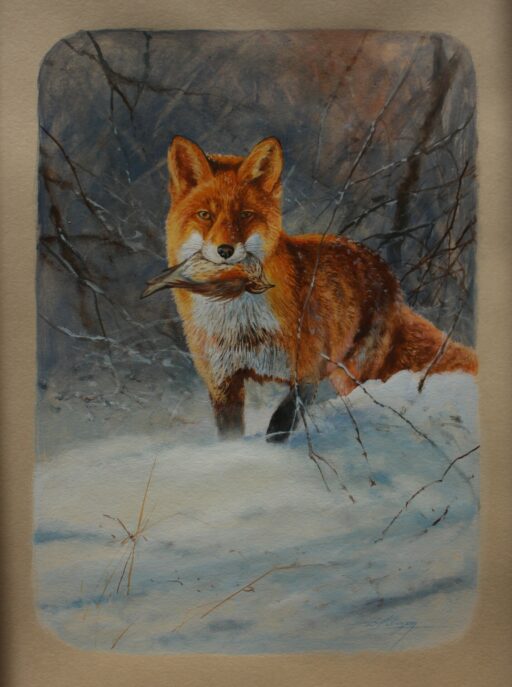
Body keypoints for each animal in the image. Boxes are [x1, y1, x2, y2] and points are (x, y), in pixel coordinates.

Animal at [164, 135, 478, 441]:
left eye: (245, 215)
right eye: (205, 215)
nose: (225, 250)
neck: (240, 324)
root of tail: (383, 269)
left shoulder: (306, 371)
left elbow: (280, 424)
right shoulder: (222, 380)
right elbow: (230, 436)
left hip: (354, 374)